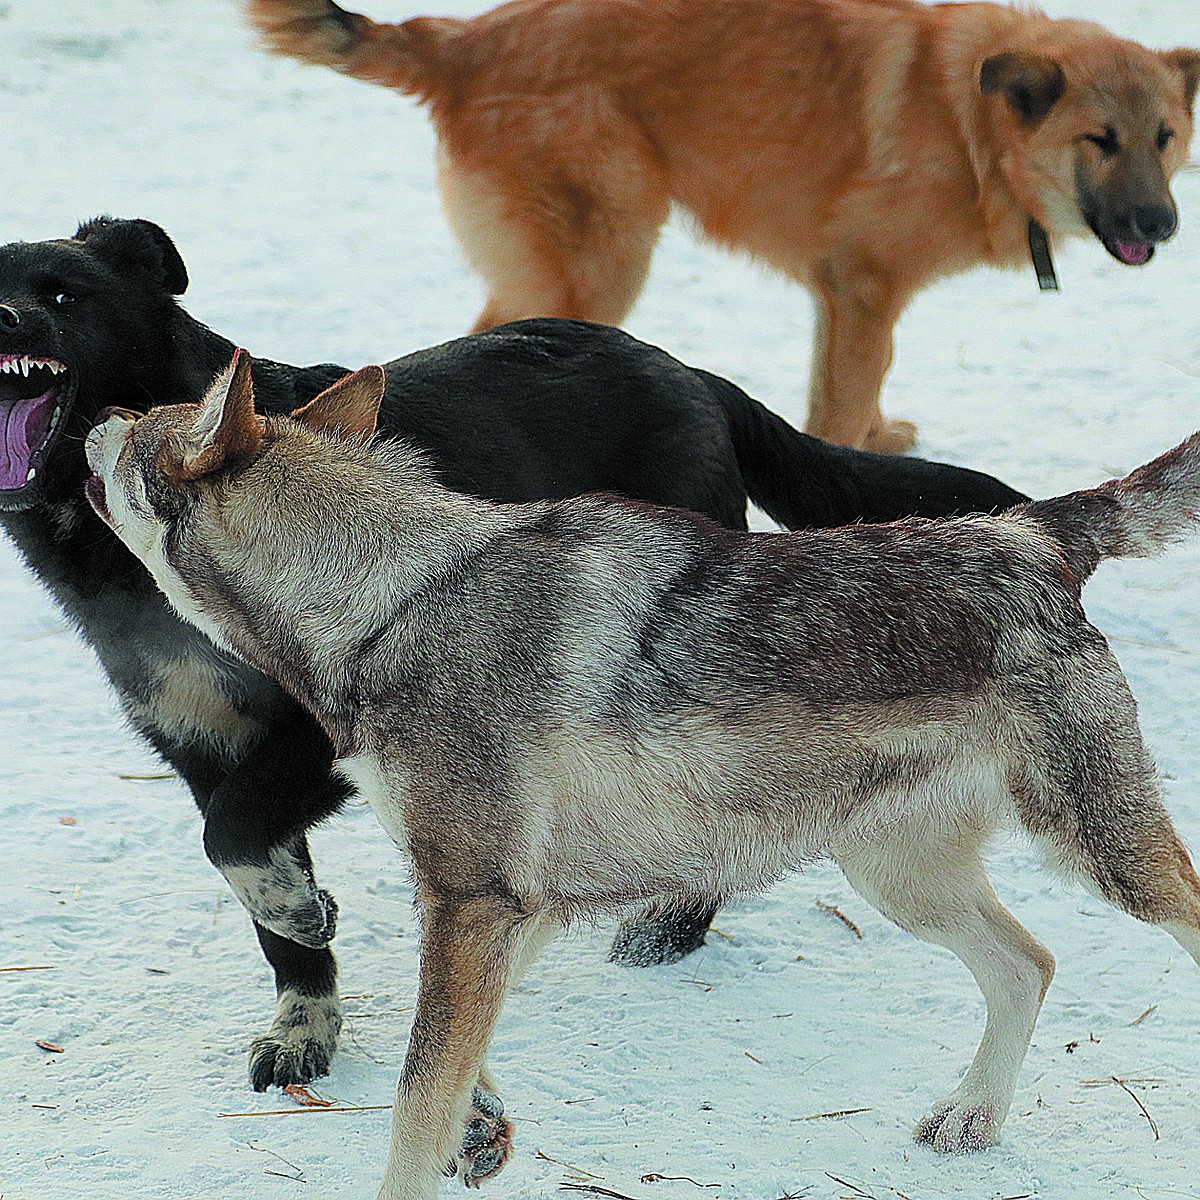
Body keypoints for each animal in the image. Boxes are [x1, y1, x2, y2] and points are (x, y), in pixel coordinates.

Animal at [0, 213, 1027, 1089]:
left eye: (62, 294)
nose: (5, 316)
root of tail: (691, 372)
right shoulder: (200, 747)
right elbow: (253, 883)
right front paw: (302, 1019)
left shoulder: (323, 734)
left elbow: (236, 836)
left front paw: (299, 914)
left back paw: (673, 926)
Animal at [87, 350, 1200, 1195]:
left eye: (143, 420)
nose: (95, 413)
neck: (388, 600)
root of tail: (1033, 532)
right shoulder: (511, 907)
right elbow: (457, 1067)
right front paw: (483, 1128)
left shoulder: (472, 901)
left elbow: (412, 1105)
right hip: (900, 880)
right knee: (1031, 965)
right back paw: (972, 1117)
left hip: (1106, 859)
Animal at [246, 0, 1200, 451]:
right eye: (1100, 140)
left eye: (1165, 137)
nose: (1162, 224)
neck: (974, 124)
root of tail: (461, 40)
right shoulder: (863, 287)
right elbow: (843, 402)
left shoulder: (851, 299)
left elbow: (865, 387)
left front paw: (880, 439)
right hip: (603, 264)